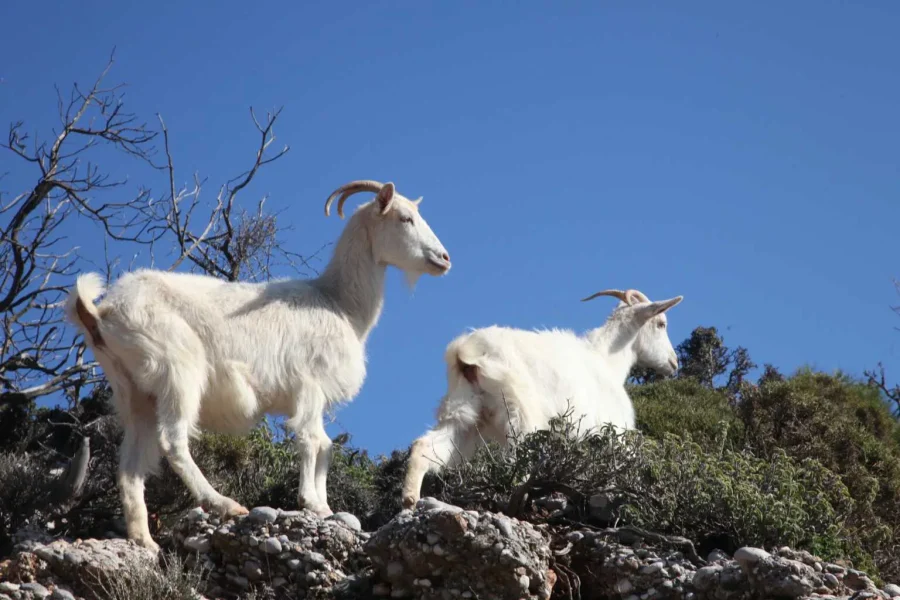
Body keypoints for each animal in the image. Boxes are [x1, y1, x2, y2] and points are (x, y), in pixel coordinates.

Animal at [65, 180, 450, 552]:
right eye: (404, 218)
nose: (444, 258)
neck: (337, 303)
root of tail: (99, 310)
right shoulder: (309, 386)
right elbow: (311, 440)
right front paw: (311, 502)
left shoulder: (315, 395)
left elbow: (326, 445)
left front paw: (325, 506)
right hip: (178, 372)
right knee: (172, 442)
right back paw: (222, 503)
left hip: (133, 392)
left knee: (130, 468)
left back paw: (143, 540)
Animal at [400, 288, 684, 508]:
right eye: (661, 324)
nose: (673, 362)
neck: (606, 359)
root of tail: (467, 352)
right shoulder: (610, 432)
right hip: (520, 415)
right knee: (516, 466)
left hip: (464, 414)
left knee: (425, 446)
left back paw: (409, 501)